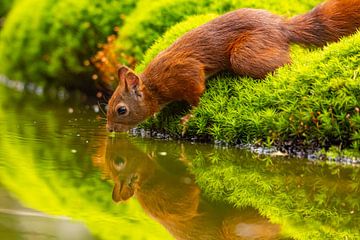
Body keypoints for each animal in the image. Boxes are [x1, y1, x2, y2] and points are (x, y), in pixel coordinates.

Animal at [107, 0, 360, 131]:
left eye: (122, 110)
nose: (109, 129)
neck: (154, 86)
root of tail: (282, 26)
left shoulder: (184, 72)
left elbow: (197, 93)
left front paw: (190, 116)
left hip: (245, 54)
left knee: (287, 63)